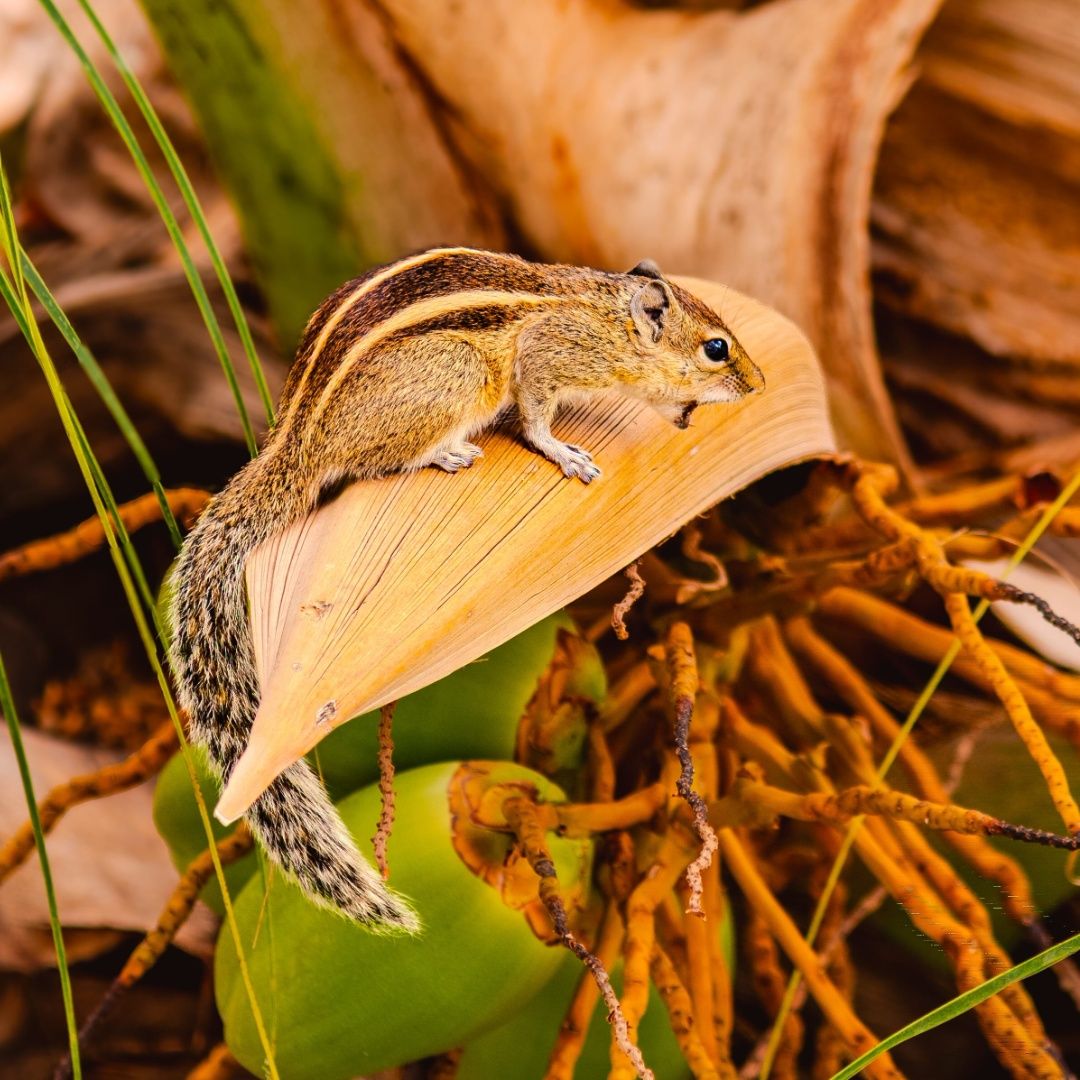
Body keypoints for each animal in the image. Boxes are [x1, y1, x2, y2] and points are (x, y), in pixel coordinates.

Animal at [168, 247, 765, 932]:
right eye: (717, 349)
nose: (759, 384)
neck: (609, 319)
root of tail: (295, 446)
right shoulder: (545, 359)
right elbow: (534, 416)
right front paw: (564, 452)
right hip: (458, 373)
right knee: (374, 462)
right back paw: (445, 454)